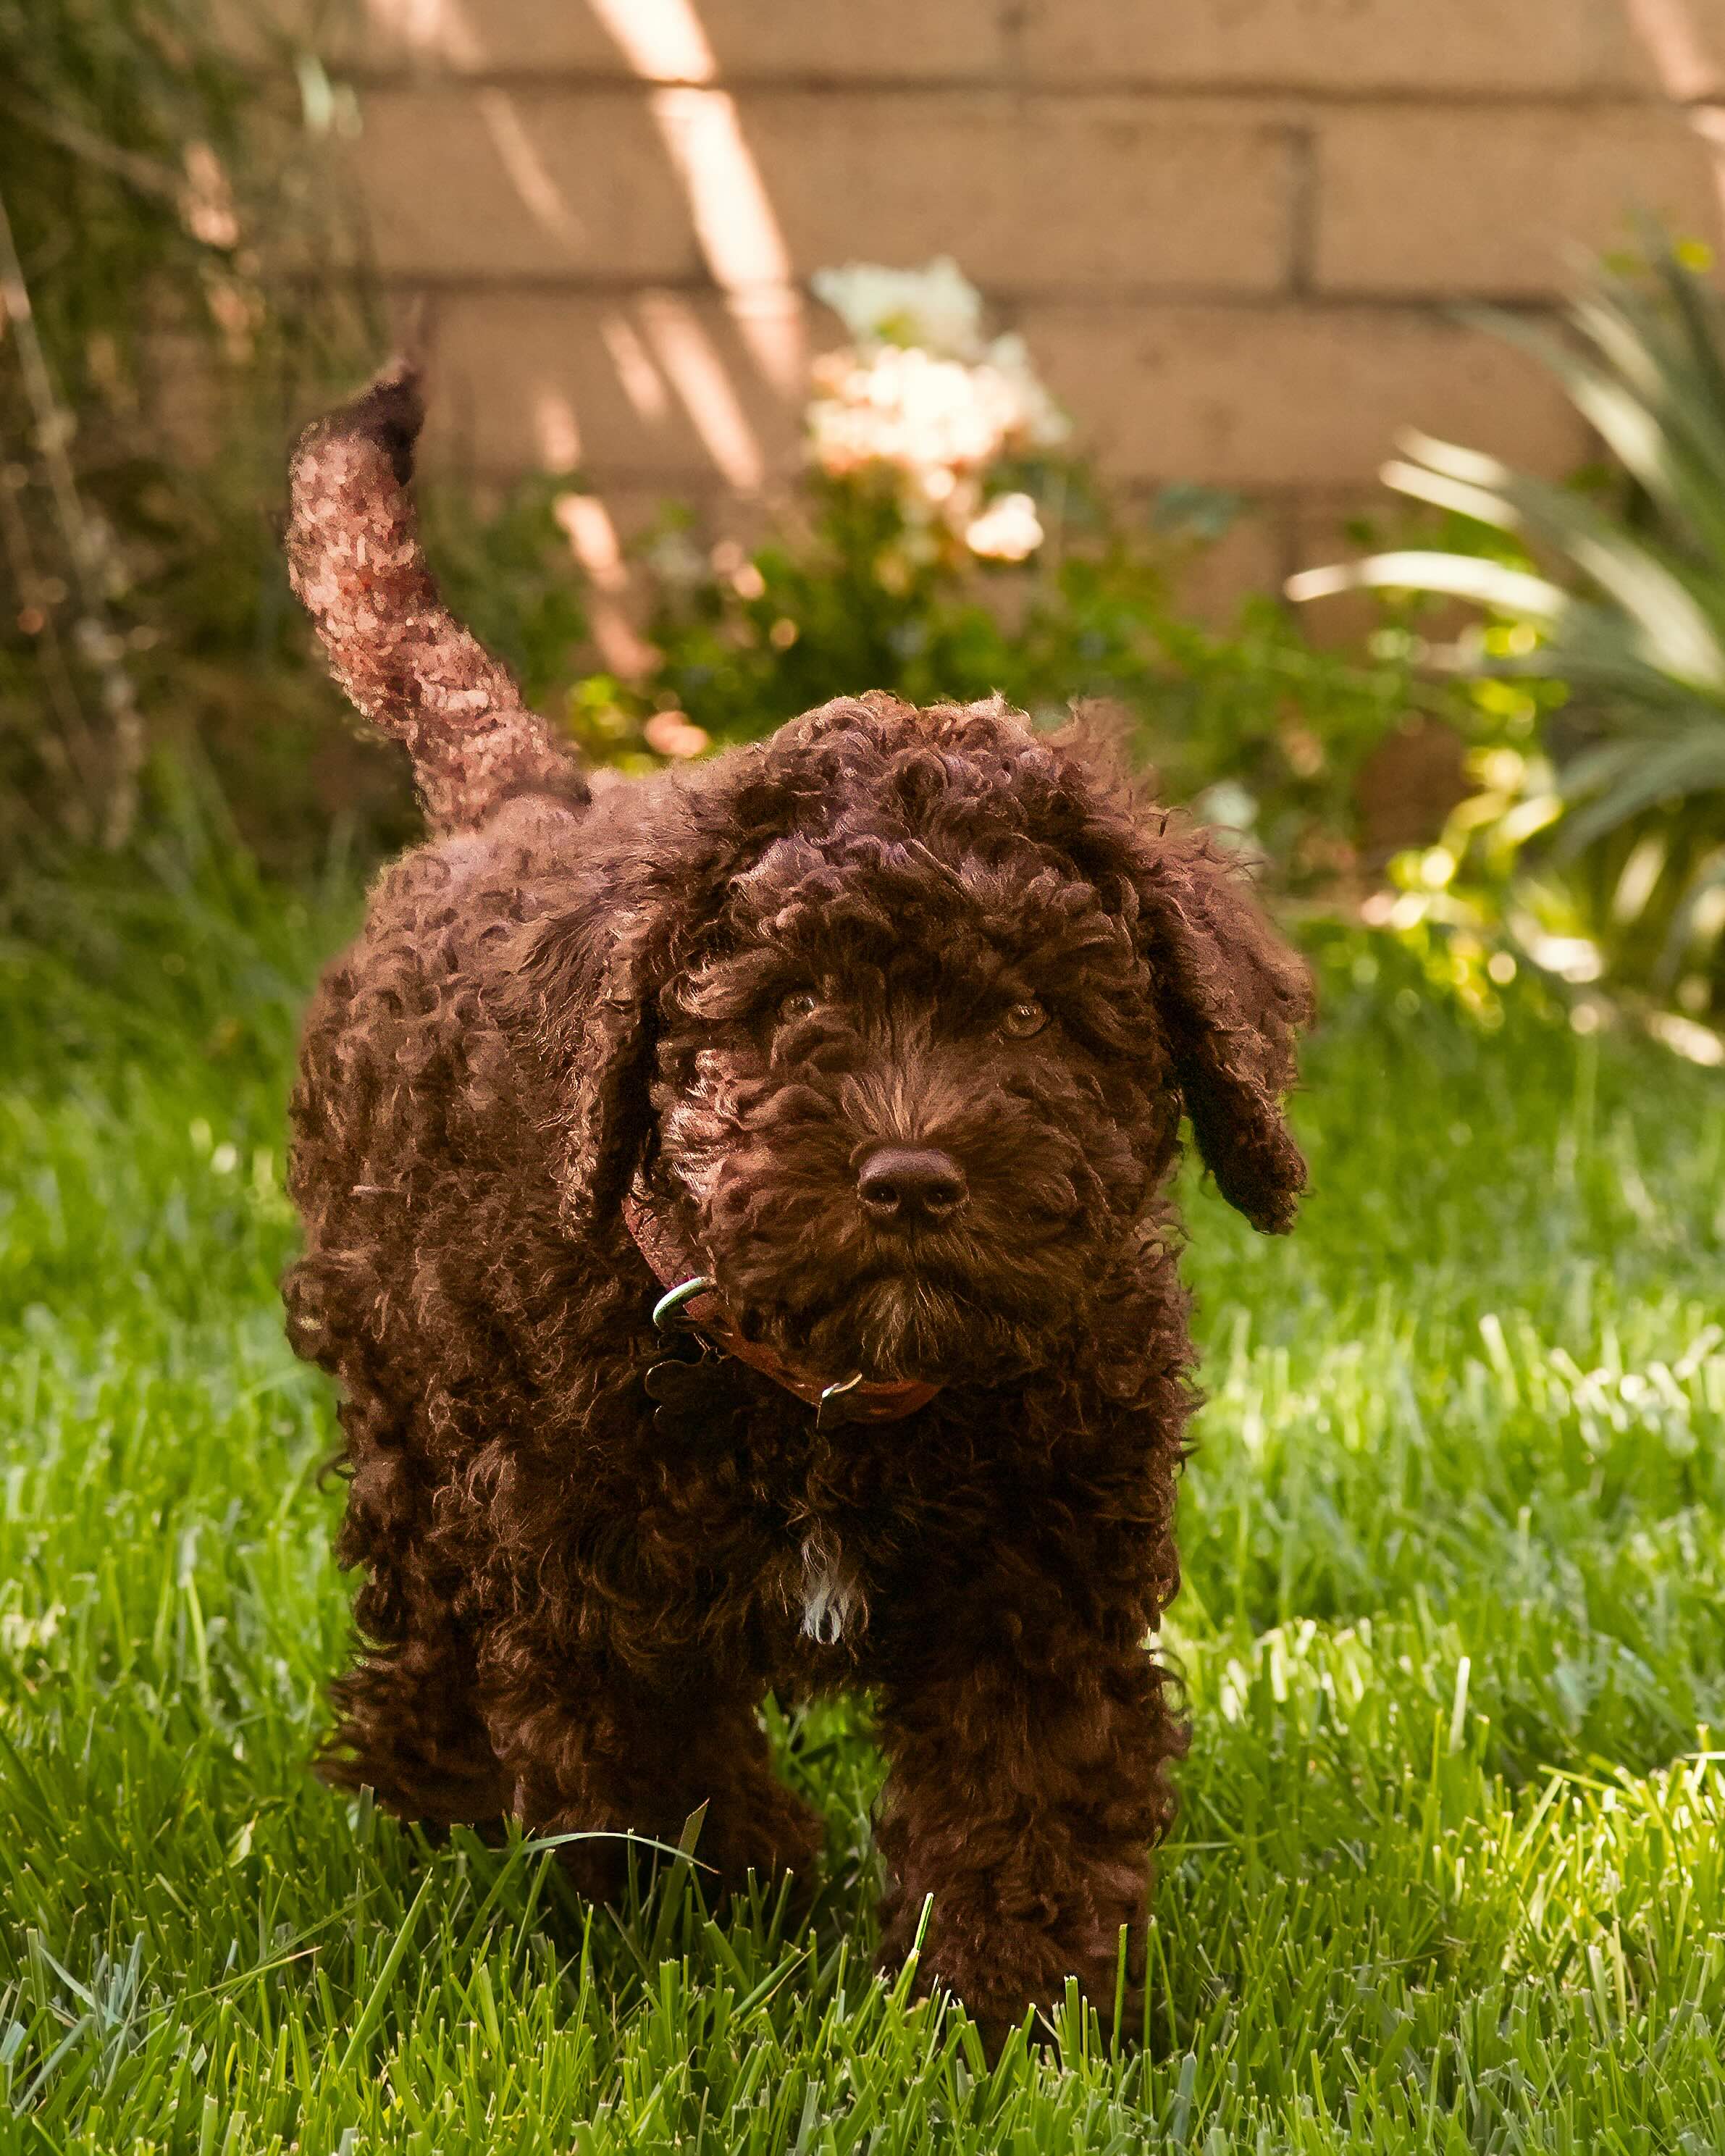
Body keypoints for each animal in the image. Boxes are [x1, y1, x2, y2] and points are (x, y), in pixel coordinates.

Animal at [280, 362, 1311, 2044]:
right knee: (419, 1601)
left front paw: (1014, 2014)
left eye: (1031, 1020)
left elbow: (1023, 1795)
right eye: (788, 1011)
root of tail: (523, 804)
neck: (833, 1391)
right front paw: (723, 1916)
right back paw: (437, 1800)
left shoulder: (1043, 1582)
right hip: (396, 1382)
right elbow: (650, 1769)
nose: (910, 1178)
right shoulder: (583, 1568)